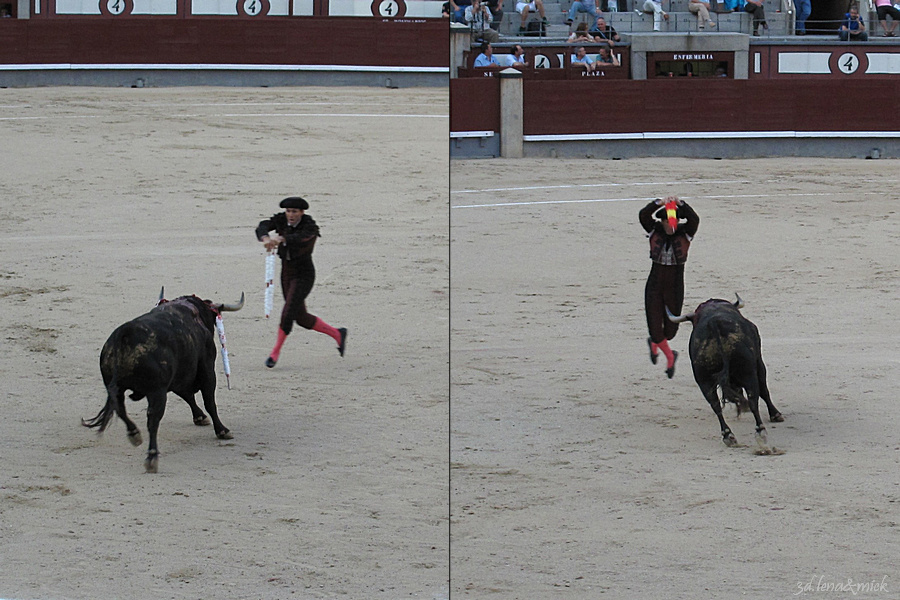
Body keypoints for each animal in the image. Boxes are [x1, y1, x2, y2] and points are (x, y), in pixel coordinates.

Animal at [84, 288, 244, 472]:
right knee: (153, 421)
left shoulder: (178, 378)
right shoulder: (207, 370)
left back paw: (134, 434)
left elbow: (187, 395)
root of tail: (125, 334)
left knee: (121, 409)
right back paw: (152, 457)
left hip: (117, 388)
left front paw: (200, 417)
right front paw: (222, 430)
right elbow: (209, 402)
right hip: (157, 392)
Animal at [664, 296, 784, 450]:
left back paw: (728, 436)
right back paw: (760, 432)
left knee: (715, 405)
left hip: (703, 380)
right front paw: (775, 415)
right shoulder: (759, 362)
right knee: (753, 400)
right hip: (748, 372)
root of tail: (714, 324)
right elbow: (764, 390)